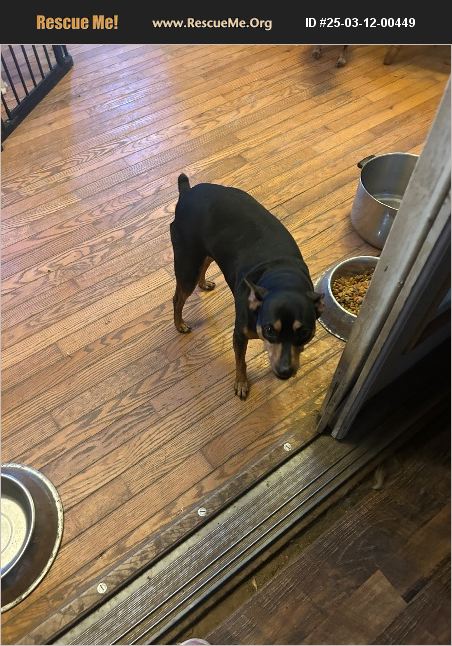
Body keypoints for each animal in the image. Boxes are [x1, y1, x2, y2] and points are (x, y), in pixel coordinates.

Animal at [170, 174, 324, 400]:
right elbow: (241, 362)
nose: (285, 372)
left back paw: (204, 283)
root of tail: (186, 192)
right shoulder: (240, 335)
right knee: (178, 298)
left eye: (304, 332)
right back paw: (180, 324)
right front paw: (241, 384)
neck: (282, 278)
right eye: (269, 330)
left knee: (203, 266)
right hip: (187, 262)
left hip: (207, 252)